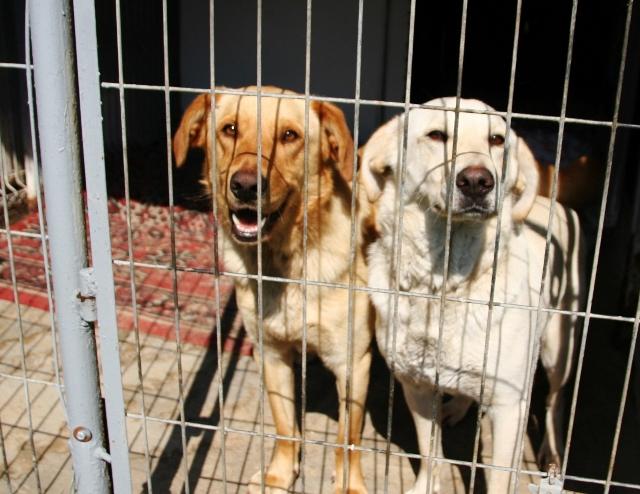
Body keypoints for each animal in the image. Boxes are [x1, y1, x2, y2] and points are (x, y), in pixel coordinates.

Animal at [173, 87, 373, 493]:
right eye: (230, 129)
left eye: (289, 136)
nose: (246, 186)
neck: (286, 266)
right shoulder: (271, 354)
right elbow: (284, 428)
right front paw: (280, 475)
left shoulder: (352, 362)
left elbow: (348, 438)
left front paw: (349, 483)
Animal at [360, 97, 583, 493]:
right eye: (437, 135)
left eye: (496, 139)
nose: (478, 181)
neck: (444, 284)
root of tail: (553, 203)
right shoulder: (416, 387)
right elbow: (430, 452)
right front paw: (427, 485)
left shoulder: (509, 406)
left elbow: (498, 475)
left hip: (560, 349)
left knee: (554, 402)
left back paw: (553, 453)